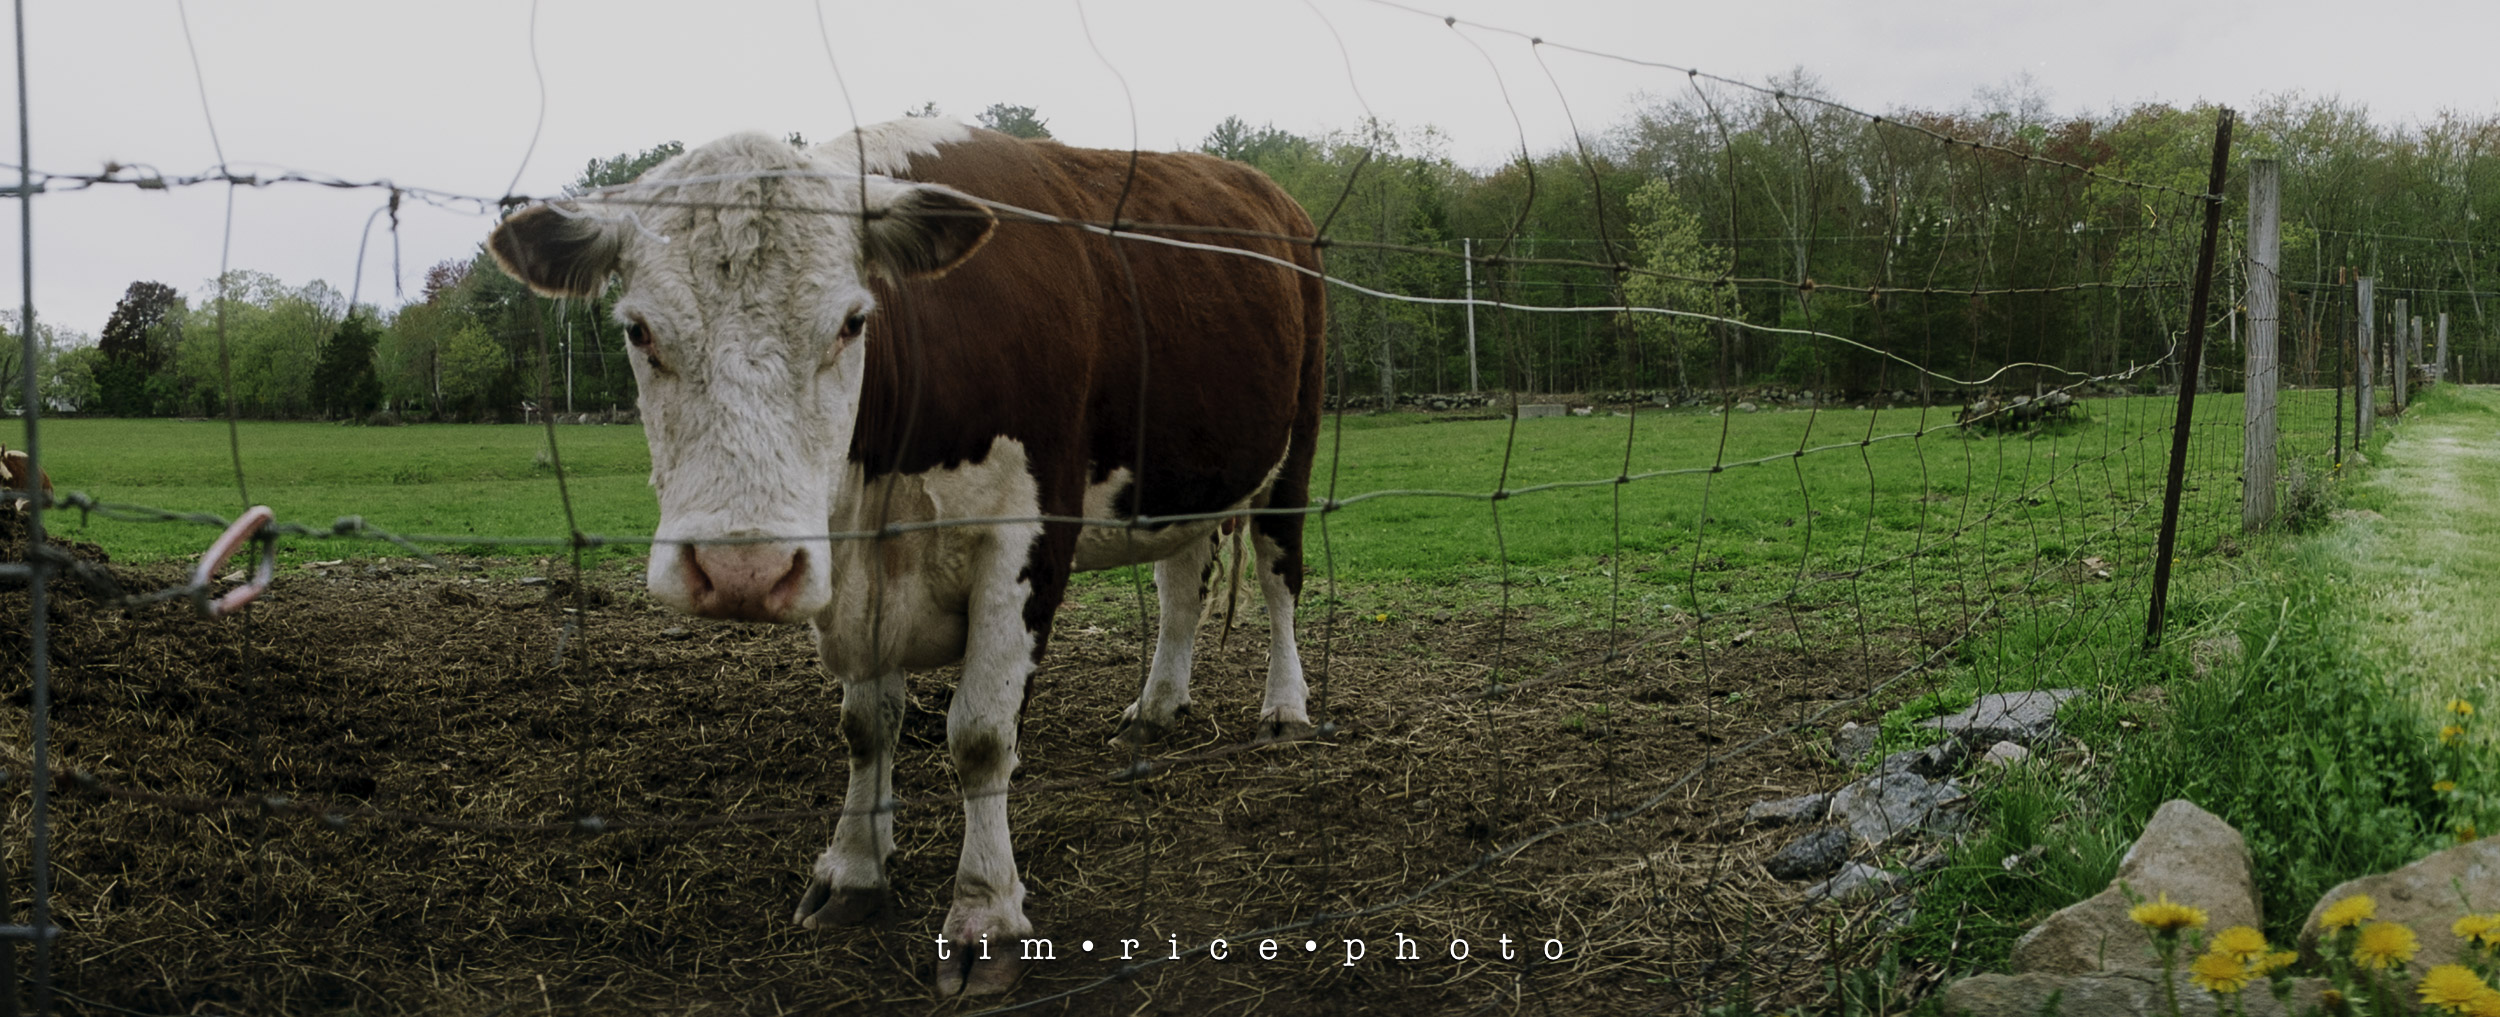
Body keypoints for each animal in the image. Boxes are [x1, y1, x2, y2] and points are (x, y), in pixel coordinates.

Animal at [487, 118, 1325, 996]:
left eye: (853, 322)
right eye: (638, 329)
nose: (743, 571)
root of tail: (1271, 192)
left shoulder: (1024, 540)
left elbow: (981, 735)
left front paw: (986, 914)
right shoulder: (856, 570)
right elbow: (866, 724)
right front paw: (856, 868)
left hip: (1294, 449)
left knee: (1280, 578)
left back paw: (1284, 707)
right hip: (1180, 483)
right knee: (1180, 586)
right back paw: (1159, 703)